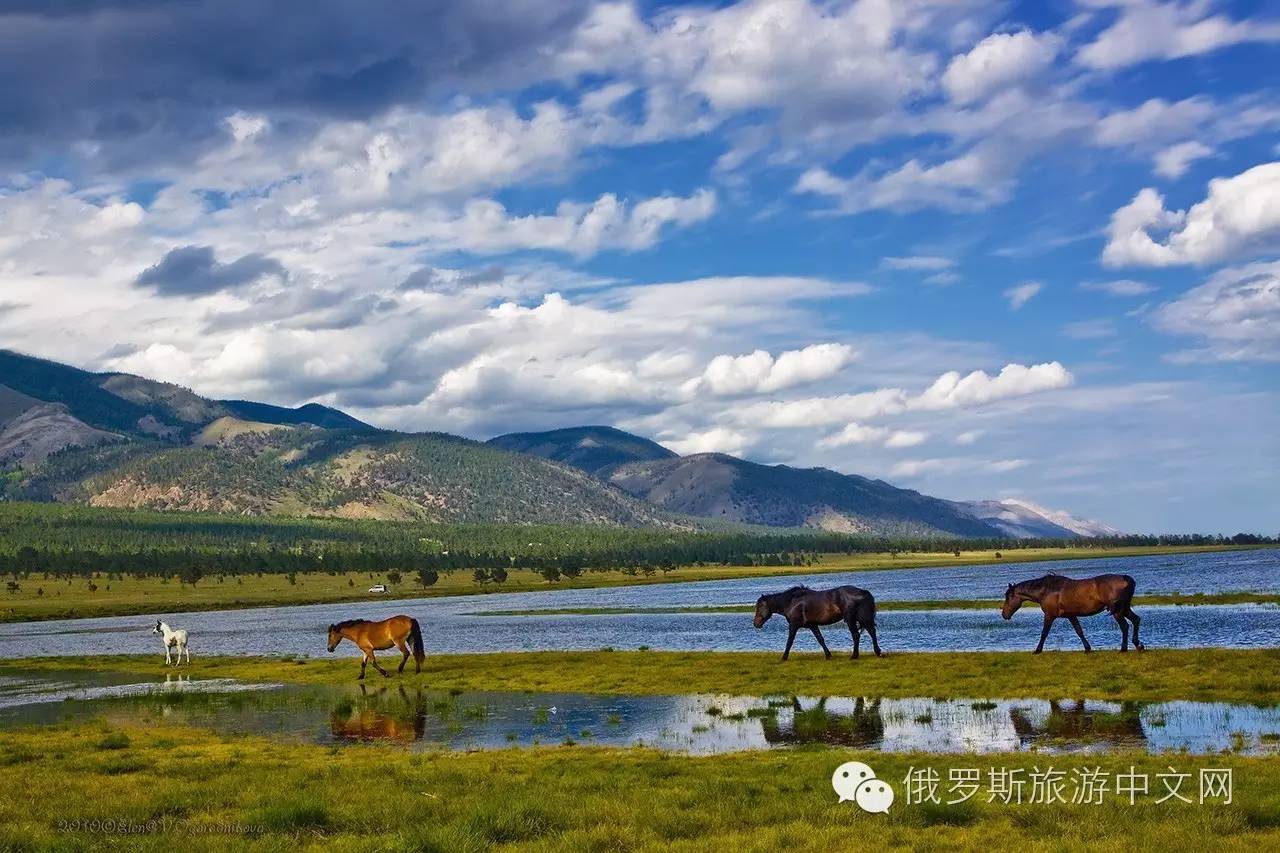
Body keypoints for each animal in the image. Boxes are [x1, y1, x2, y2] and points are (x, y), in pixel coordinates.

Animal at [747, 581, 880, 660]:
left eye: (760, 606)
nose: (756, 623)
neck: (791, 602)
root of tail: (864, 592)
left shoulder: (793, 625)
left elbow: (789, 641)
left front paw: (784, 657)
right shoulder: (812, 625)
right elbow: (820, 639)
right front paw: (828, 655)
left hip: (851, 619)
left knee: (856, 635)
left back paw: (855, 655)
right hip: (863, 618)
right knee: (872, 632)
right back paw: (877, 652)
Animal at [1003, 573, 1146, 653]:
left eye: (1008, 597)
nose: (1004, 615)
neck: (1047, 590)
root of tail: (1125, 578)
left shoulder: (1049, 616)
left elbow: (1044, 633)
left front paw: (1037, 650)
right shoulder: (1071, 615)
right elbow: (1079, 631)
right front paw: (1087, 649)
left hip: (1118, 612)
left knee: (1125, 626)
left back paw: (1124, 649)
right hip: (1124, 608)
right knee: (1136, 620)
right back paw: (1138, 645)